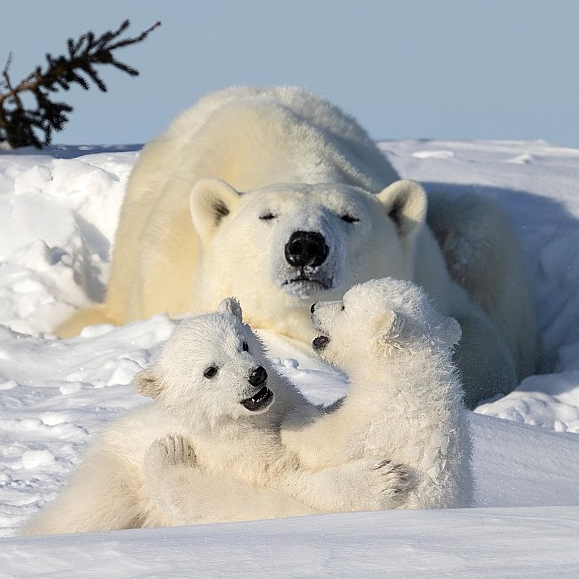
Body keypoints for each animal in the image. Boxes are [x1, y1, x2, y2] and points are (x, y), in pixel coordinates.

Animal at [61, 86, 536, 408]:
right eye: (266, 216)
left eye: (349, 216)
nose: (305, 246)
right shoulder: (169, 273)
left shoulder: (426, 271)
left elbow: (478, 338)